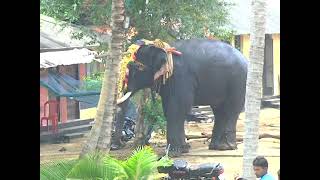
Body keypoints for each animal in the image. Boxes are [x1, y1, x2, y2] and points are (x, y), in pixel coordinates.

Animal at [117, 38, 248, 156]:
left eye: (138, 67)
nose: (117, 146)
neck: (163, 48)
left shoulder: (181, 77)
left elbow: (177, 108)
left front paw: (172, 154)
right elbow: (169, 109)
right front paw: (183, 149)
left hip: (239, 82)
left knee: (230, 110)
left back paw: (225, 147)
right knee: (219, 111)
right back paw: (216, 147)